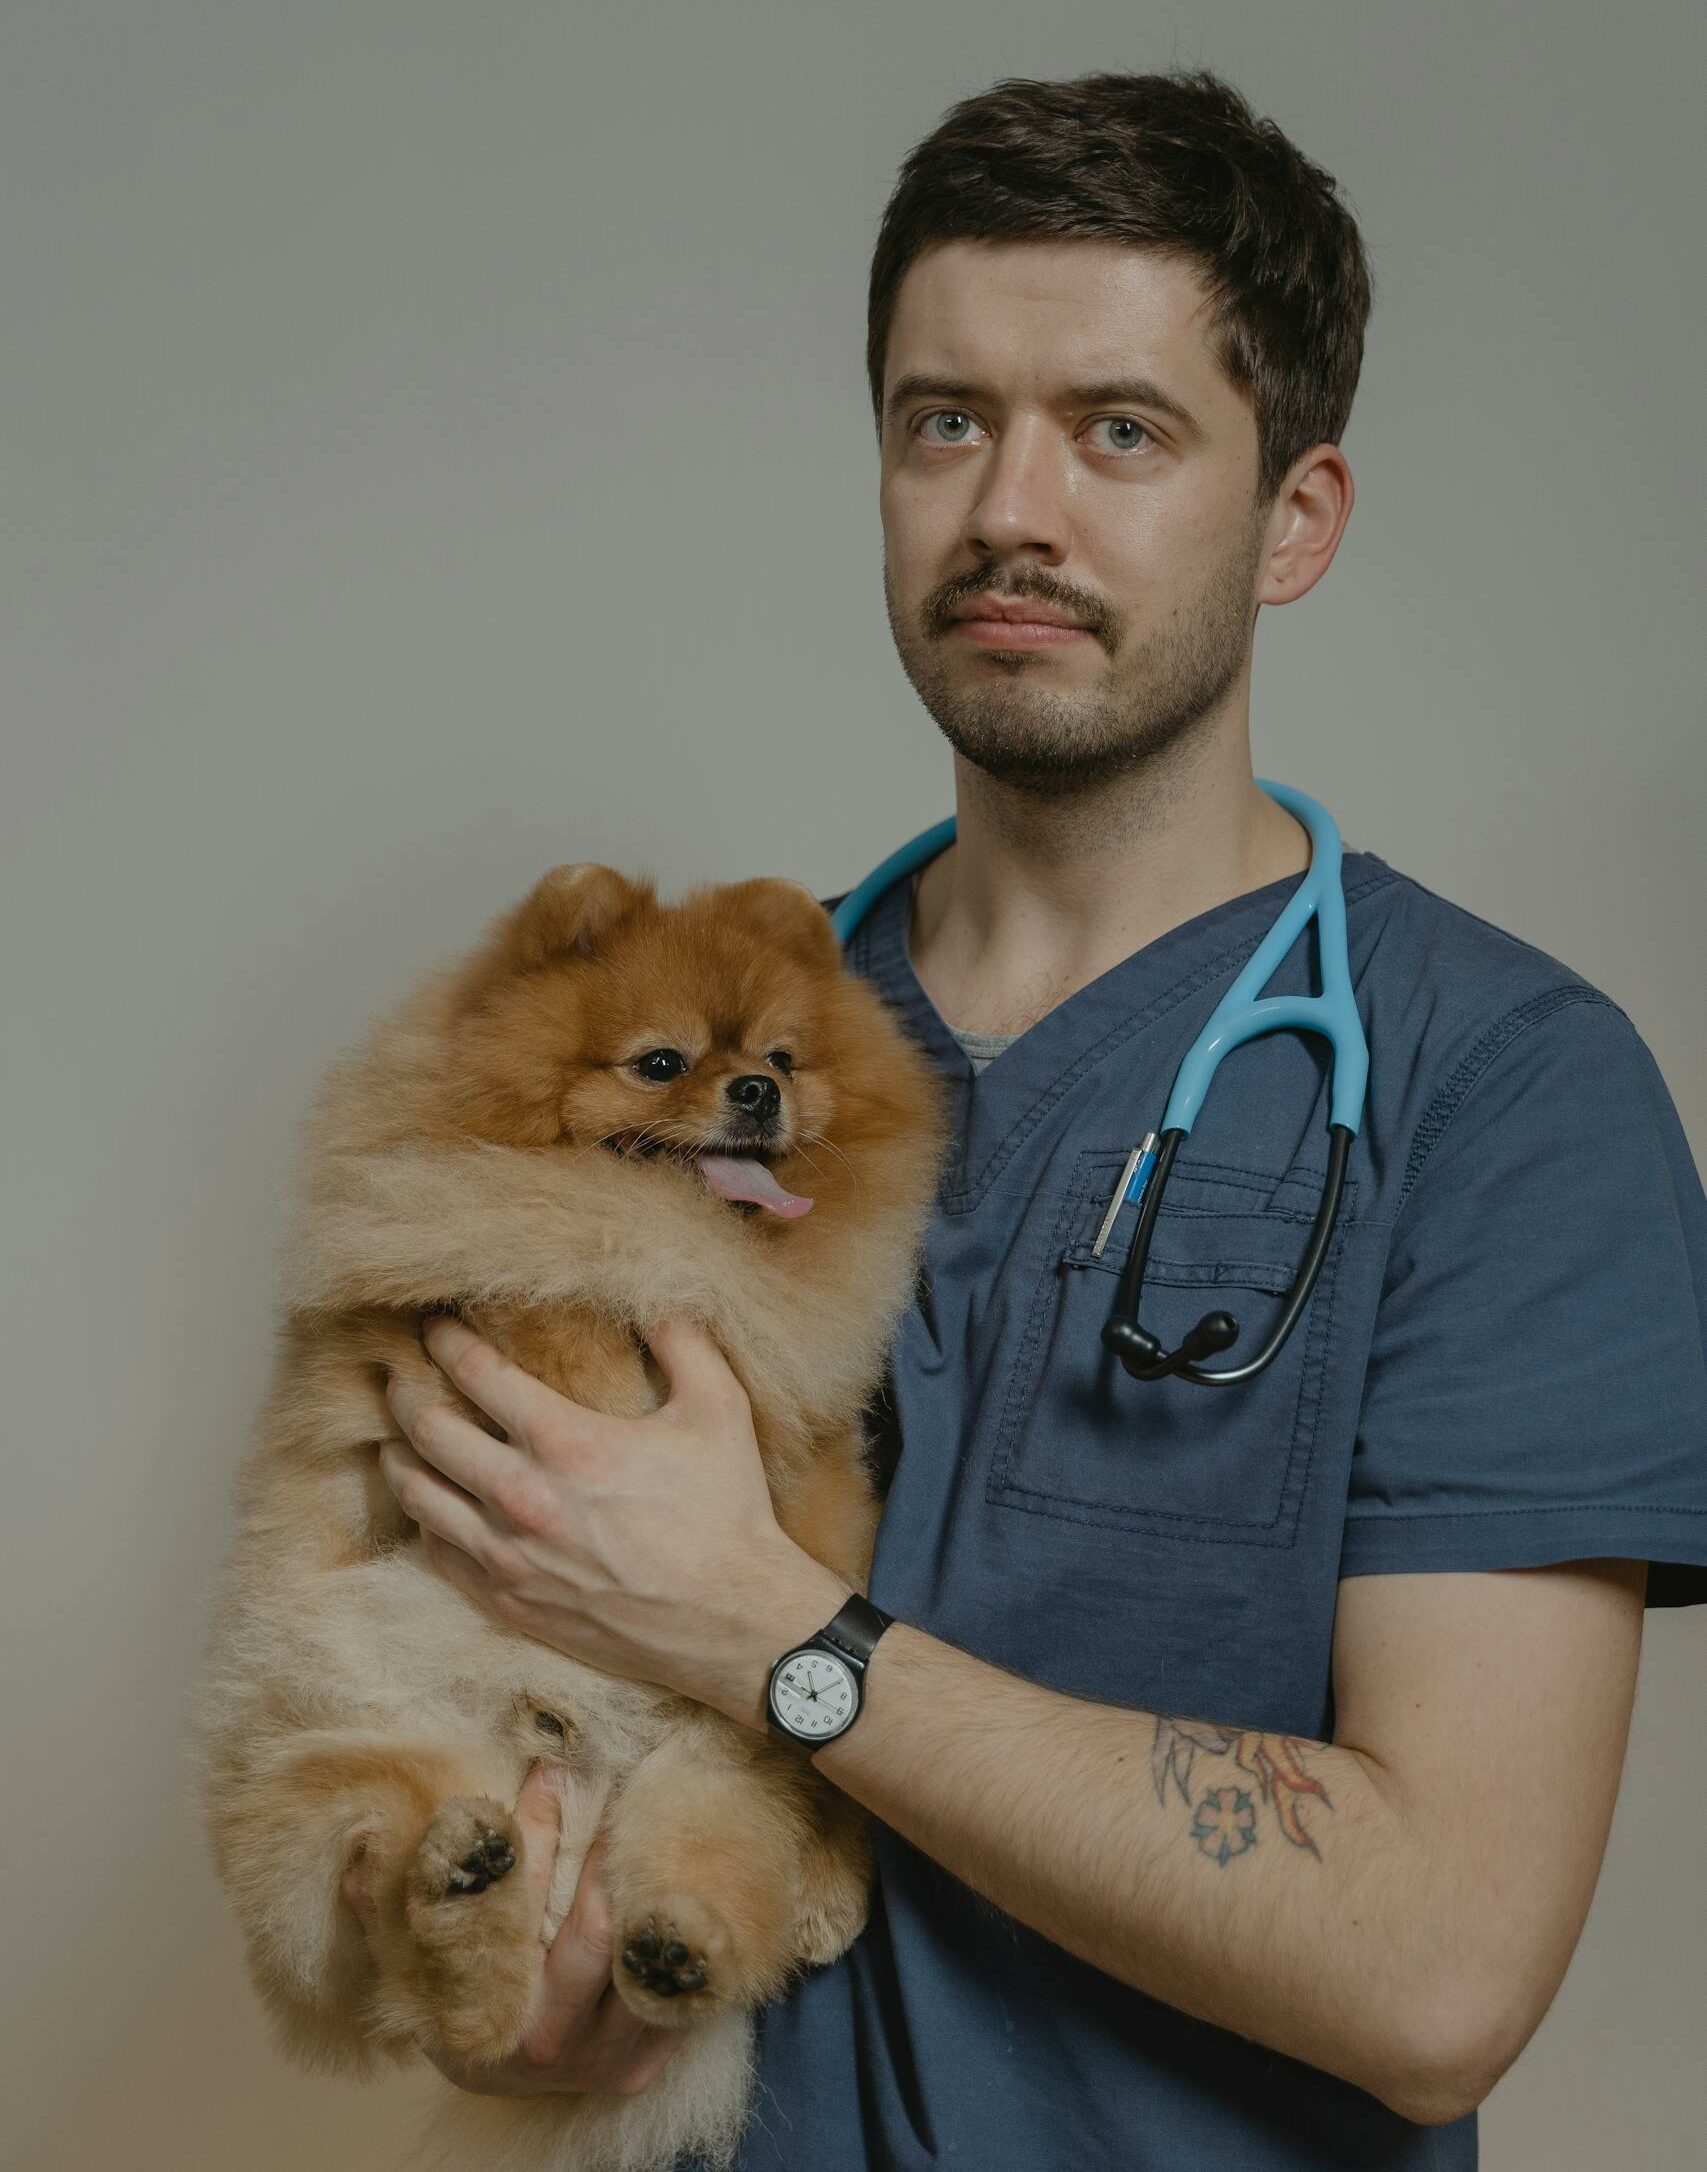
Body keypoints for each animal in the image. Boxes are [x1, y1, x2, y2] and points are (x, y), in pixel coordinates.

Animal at [193, 868, 951, 2172]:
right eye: (662, 1063)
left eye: (782, 1057)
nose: (758, 1094)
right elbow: (555, 1297)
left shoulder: (812, 1480)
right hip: (358, 1776)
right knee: (423, 1966)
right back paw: (470, 1918)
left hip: (710, 1774)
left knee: (722, 1865)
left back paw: (689, 1944)